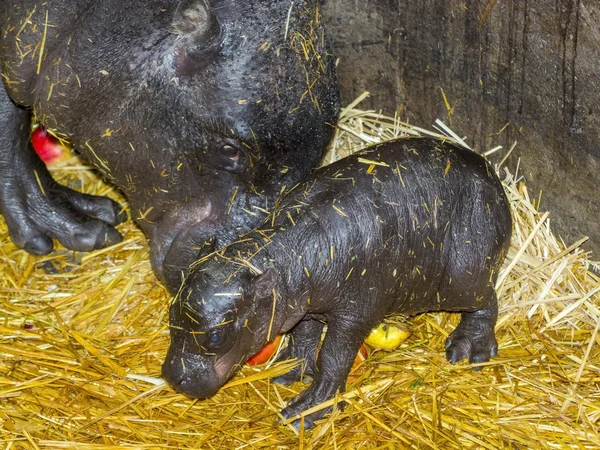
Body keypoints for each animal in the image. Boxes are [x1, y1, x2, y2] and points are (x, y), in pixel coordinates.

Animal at [163, 139, 510, 428]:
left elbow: (333, 356)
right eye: (170, 313)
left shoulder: (354, 314)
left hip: (461, 274)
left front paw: (306, 411)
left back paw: (469, 349)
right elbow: (304, 336)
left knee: (485, 299)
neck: (283, 255)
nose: (173, 377)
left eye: (217, 336)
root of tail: (492, 175)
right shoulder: (302, 303)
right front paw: (290, 369)